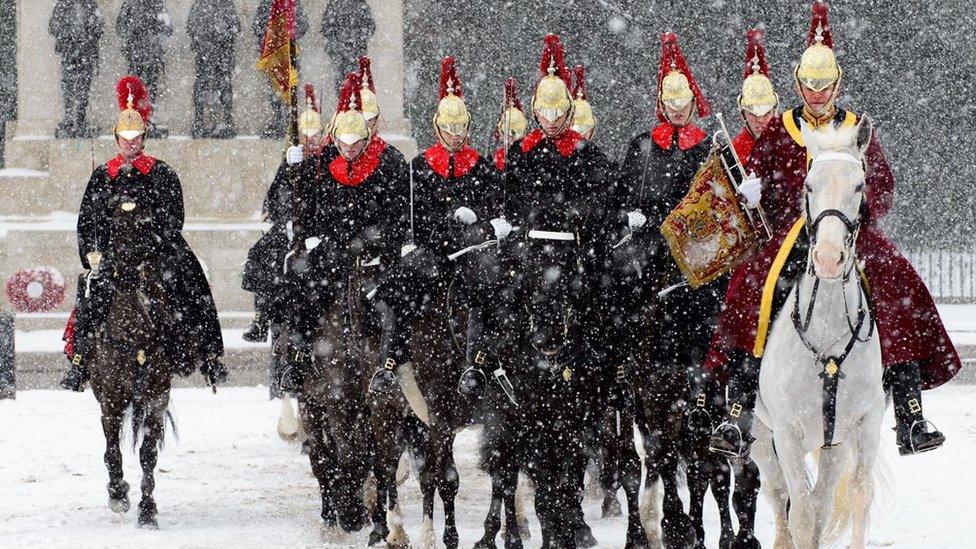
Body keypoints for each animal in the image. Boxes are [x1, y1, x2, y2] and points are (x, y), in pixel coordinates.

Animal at [752, 113, 888, 544]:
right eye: (808, 184)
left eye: (860, 184)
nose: (829, 258)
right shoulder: (787, 433)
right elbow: (801, 515)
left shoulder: (864, 424)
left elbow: (858, 496)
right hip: (759, 434)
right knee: (780, 495)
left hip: (834, 445)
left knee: (823, 500)